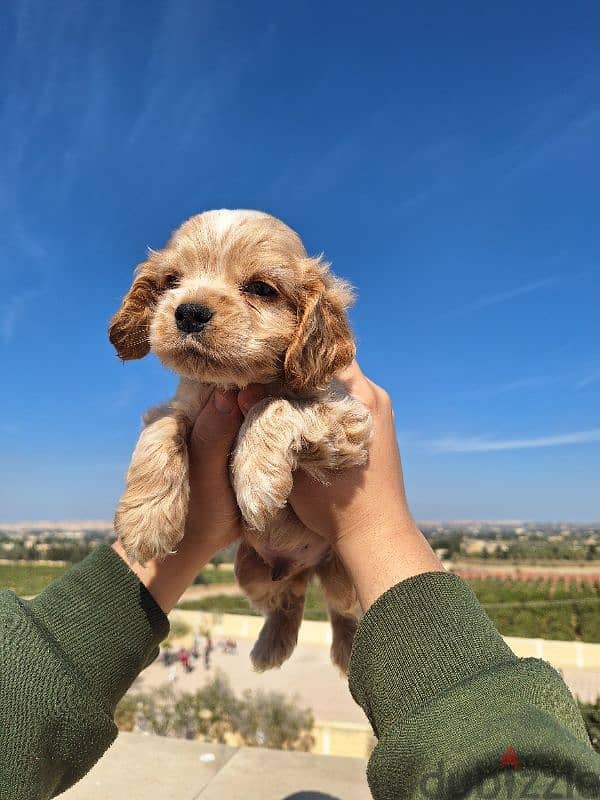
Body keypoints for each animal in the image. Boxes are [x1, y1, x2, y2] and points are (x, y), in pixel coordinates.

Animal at [108, 209, 370, 672]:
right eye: (172, 280)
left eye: (261, 289)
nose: (189, 312)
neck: (231, 384)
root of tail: (304, 568)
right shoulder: (180, 405)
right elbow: (161, 429)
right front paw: (146, 518)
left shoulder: (348, 417)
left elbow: (276, 403)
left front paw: (256, 479)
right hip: (251, 572)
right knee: (289, 600)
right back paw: (272, 647)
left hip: (342, 575)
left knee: (341, 611)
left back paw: (343, 653)